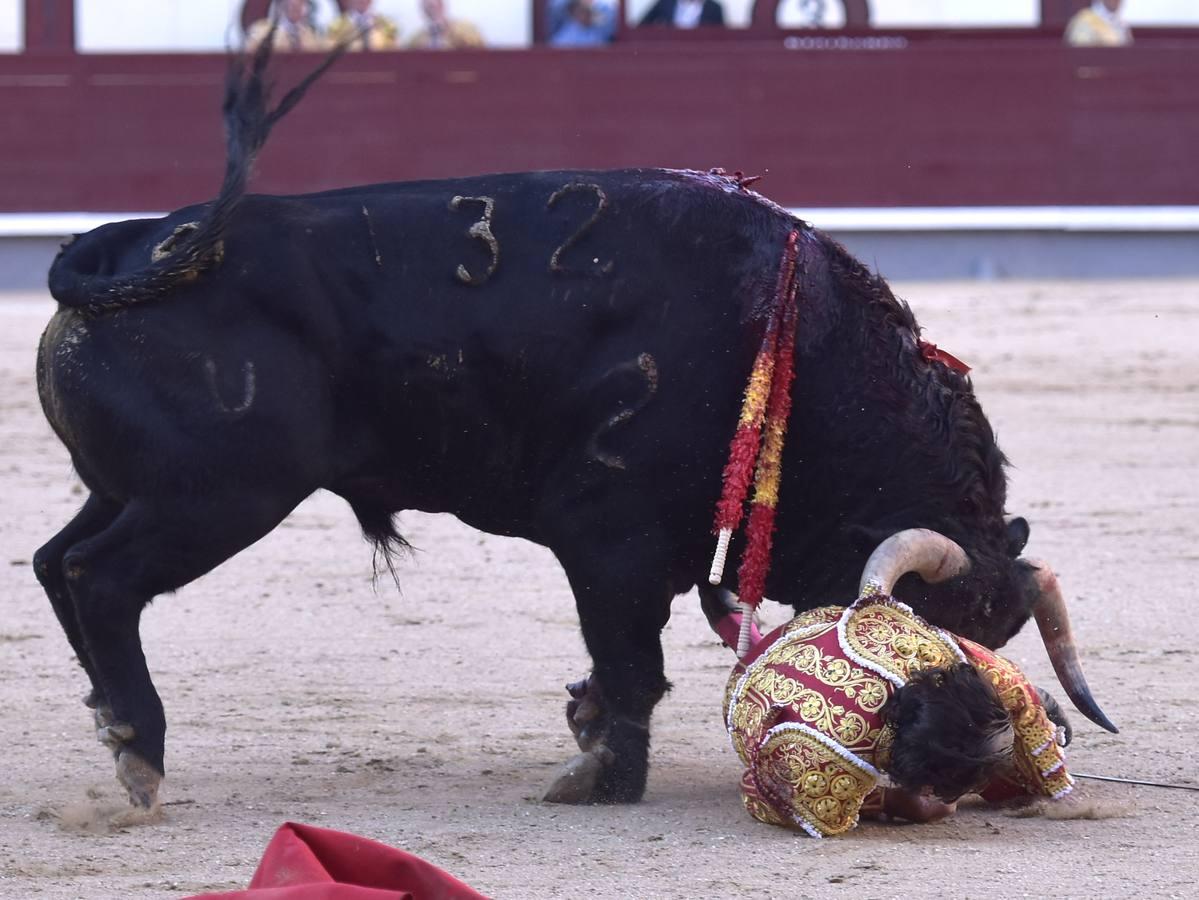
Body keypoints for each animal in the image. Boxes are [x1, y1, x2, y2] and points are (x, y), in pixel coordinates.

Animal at [32, 56, 1107, 805]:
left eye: (996, 637)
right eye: (929, 626)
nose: (978, 747)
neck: (793, 342)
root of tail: (134, 246)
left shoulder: (649, 553)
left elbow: (622, 665)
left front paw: (586, 737)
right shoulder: (609, 538)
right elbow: (633, 663)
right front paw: (599, 780)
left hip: (138, 490)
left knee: (56, 563)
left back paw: (113, 728)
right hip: (221, 497)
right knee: (101, 578)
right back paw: (139, 751)